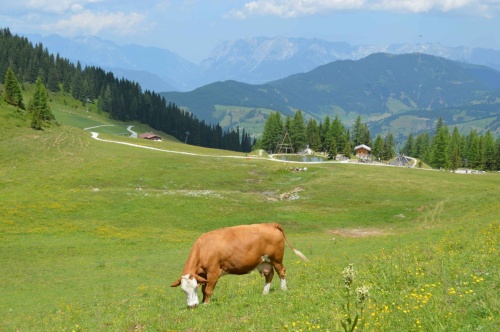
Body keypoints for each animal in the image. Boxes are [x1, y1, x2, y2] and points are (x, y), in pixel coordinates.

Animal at [170, 222, 306, 308]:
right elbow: (204, 289)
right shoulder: (203, 274)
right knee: (270, 274)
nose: (192, 306)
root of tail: (270, 224)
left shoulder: (213, 272)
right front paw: (203, 301)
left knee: (281, 272)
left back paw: (283, 289)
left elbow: (208, 290)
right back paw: (265, 292)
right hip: (264, 261)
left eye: (194, 288)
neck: (204, 248)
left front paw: (206, 304)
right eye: (183, 290)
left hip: (276, 259)